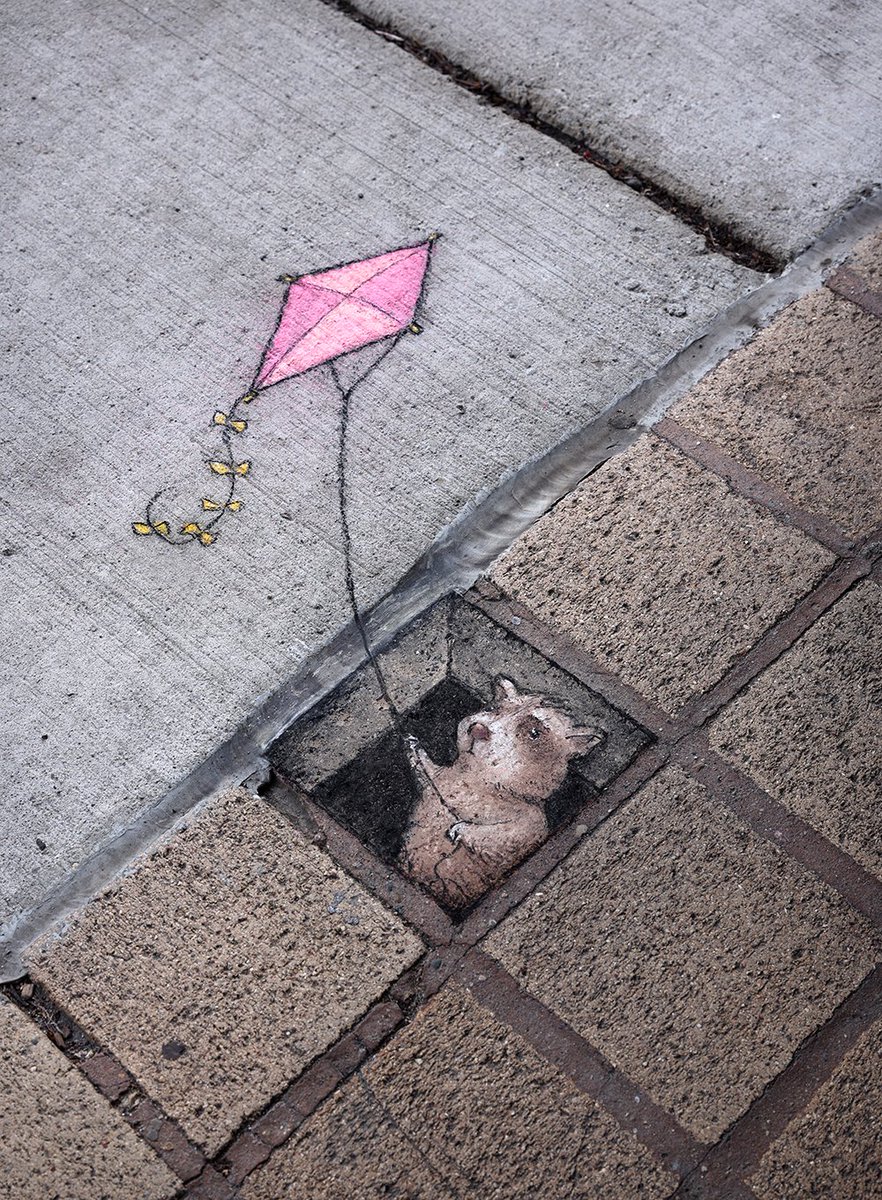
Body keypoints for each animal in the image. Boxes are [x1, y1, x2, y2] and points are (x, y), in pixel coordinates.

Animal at [398, 681, 600, 902]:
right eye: (492, 708)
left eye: (534, 733)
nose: (477, 730)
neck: (476, 781)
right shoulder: (436, 783)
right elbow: (425, 769)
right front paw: (412, 745)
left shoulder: (531, 826)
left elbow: (501, 836)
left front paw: (460, 829)